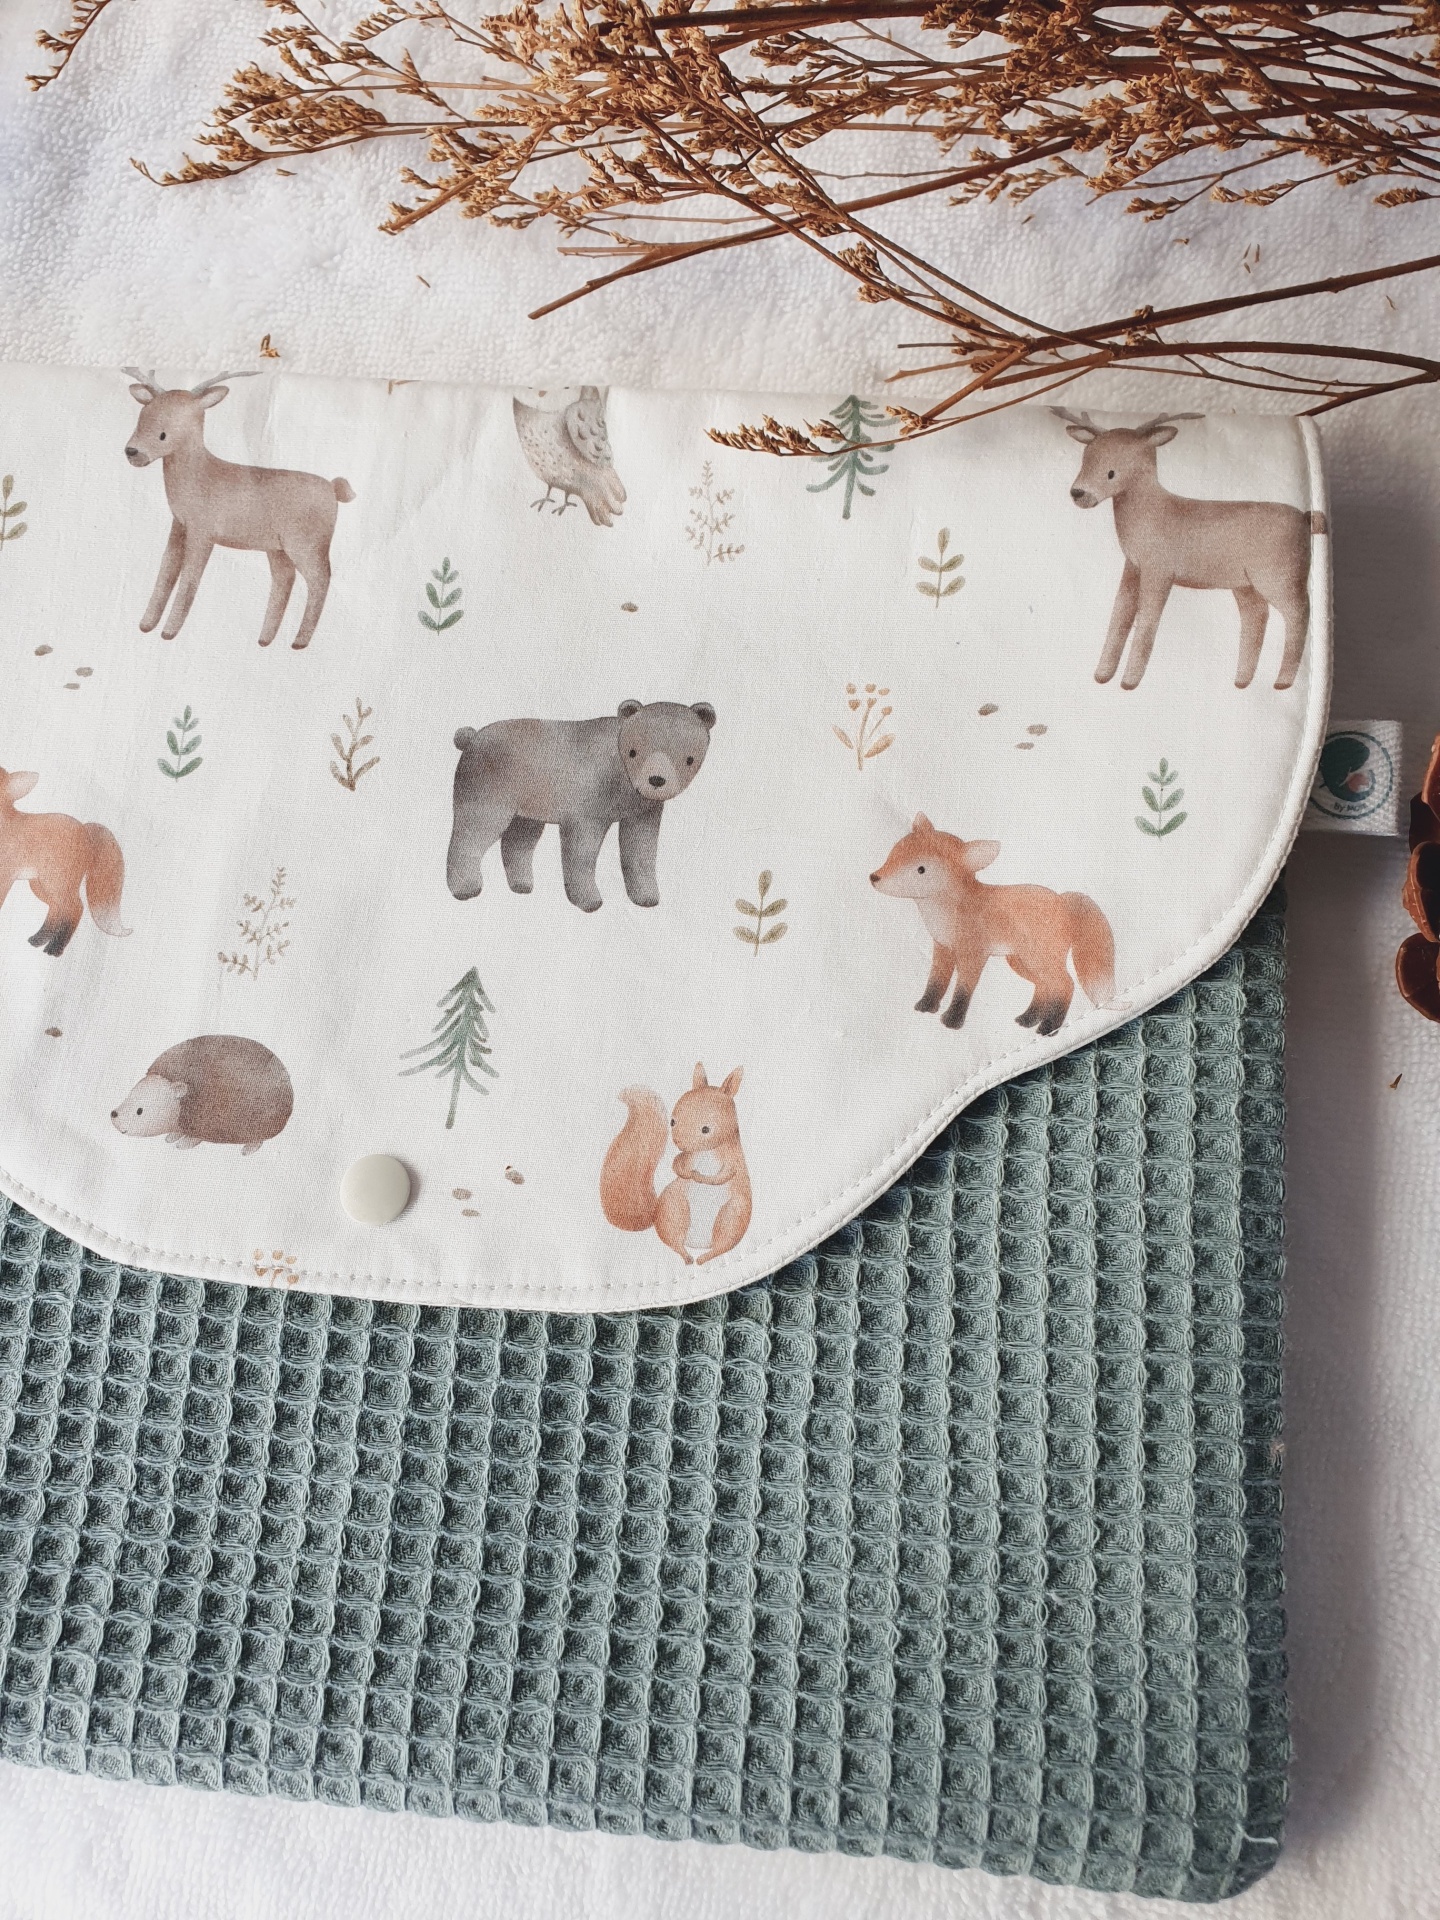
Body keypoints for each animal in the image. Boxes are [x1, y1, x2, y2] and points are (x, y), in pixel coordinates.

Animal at [123, 369, 355, 651]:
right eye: (141, 417)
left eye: (164, 434)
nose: (133, 451)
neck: (201, 478)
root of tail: (333, 489)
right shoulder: (179, 525)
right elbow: (166, 571)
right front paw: (146, 625)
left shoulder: (204, 531)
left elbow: (189, 578)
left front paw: (168, 632)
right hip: (277, 548)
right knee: (285, 580)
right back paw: (265, 639)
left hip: (308, 543)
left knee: (321, 580)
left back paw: (299, 642)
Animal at [446, 699, 717, 913]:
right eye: (633, 752)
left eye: (689, 759)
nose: (656, 780)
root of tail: (471, 738)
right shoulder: (588, 802)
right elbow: (581, 852)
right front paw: (589, 900)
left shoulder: (642, 809)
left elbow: (640, 850)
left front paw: (646, 896)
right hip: (488, 786)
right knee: (474, 831)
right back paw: (465, 887)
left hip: (529, 795)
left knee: (520, 838)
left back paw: (522, 884)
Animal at [1052, 409, 1327, 692]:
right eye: (1084, 459)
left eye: (1111, 472)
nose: (1078, 493)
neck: (1152, 514)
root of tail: (1306, 518)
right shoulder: (1133, 566)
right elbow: (1120, 615)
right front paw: (1102, 676)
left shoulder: (1160, 569)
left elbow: (1147, 621)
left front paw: (1129, 682)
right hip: (1245, 585)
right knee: (1257, 617)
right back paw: (1242, 681)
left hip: (1279, 576)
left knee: (1299, 614)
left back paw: (1282, 682)